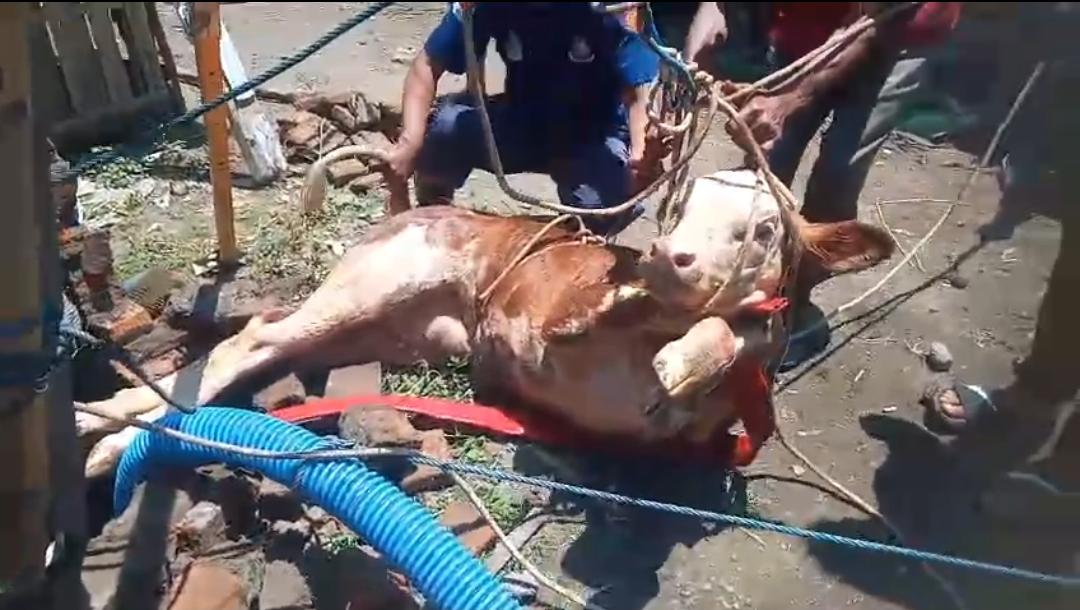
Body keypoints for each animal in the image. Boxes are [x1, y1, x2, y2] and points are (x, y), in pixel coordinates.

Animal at [78, 167, 893, 476]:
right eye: (677, 205)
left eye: (764, 229)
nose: (670, 256)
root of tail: (408, 207)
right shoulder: (559, 321)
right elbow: (653, 316)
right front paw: (681, 343)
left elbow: (747, 332)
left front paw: (700, 354)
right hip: (374, 286)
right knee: (253, 338)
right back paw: (112, 435)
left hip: (390, 330)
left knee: (271, 350)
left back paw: (112, 421)